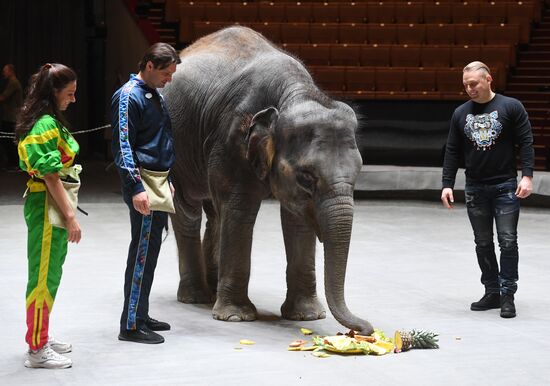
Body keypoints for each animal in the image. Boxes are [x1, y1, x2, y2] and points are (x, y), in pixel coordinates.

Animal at [161, 26, 376, 334]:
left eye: (358, 173)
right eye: (306, 177)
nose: (366, 329)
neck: (294, 95)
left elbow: (297, 220)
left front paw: (306, 317)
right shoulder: (232, 139)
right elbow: (240, 211)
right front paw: (236, 317)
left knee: (215, 213)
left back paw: (212, 291)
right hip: (174, 148)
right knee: (187, 210)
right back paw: (196, 297)